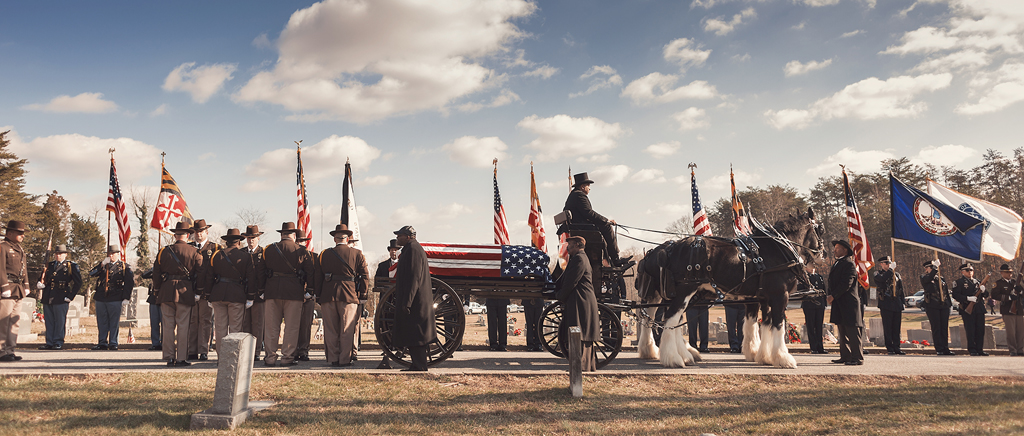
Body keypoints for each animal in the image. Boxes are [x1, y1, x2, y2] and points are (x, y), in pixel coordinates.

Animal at [630, 207, 823, 368]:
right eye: (820, 229)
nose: (824, 253)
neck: (777, 250)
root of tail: (666, 250)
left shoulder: (762, 299)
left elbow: (762, 325)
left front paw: (763, 356)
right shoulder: (779, 296)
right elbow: (778, 325)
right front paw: (783, 358)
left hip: (663, 295)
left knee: (653, 318)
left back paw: (659, 351)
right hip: (684, 292)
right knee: (669, 319)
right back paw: (674, 358)